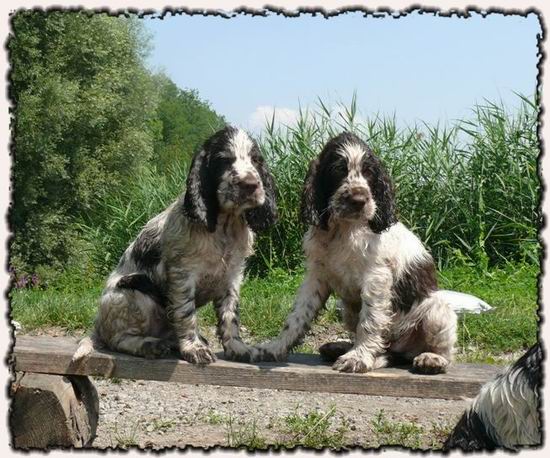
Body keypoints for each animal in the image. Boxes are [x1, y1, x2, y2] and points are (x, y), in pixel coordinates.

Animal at [73, 126, 277, 364]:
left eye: (256, 160)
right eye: (223, 160)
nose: (250, 185)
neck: (224, 226)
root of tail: (97, 324)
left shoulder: (232, 276)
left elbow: (230, 315)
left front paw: (238, 348)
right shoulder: (183, 273)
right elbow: (186, 313)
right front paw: (195, 348)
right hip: (132, 292)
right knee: (117, 338)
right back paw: (150, 345)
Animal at [254, 132, 457, 374]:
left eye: (369, 172)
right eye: (338, 170)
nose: (359, 201)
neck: (344, 229)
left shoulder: (376, 278)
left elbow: (369, 322)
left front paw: (358, 359)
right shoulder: (316, 276)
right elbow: (297, 316)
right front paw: (274, 348)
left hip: (438, 310)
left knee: (437, 350)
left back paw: (432, 359)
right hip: (348, 311)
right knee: (386, 350)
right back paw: (340, 347)